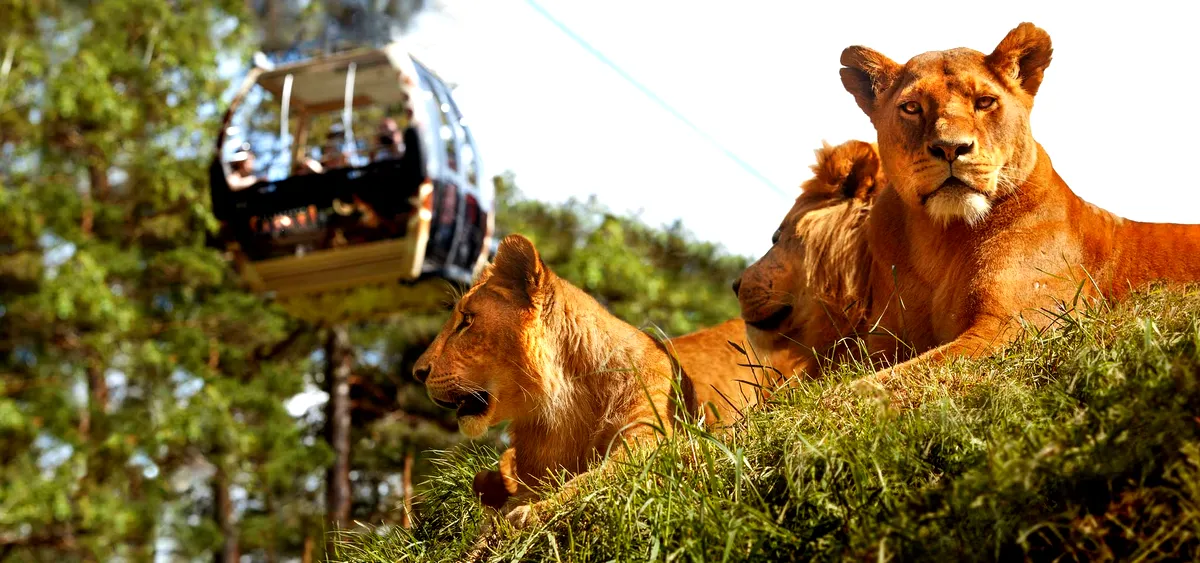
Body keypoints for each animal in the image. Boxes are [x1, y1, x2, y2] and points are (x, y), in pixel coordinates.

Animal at [412, 235, 764, 527]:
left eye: (467, 321)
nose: (418, 372)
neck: (567, 405)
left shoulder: (653, 439)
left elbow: (592, 478)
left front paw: (530, 512)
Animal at [837, 22, 1200, 382]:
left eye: (984, 102)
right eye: (912, 107)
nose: (951, 147)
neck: (939, 238)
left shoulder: (1022, 326)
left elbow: (897, 378)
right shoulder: (880, 339)